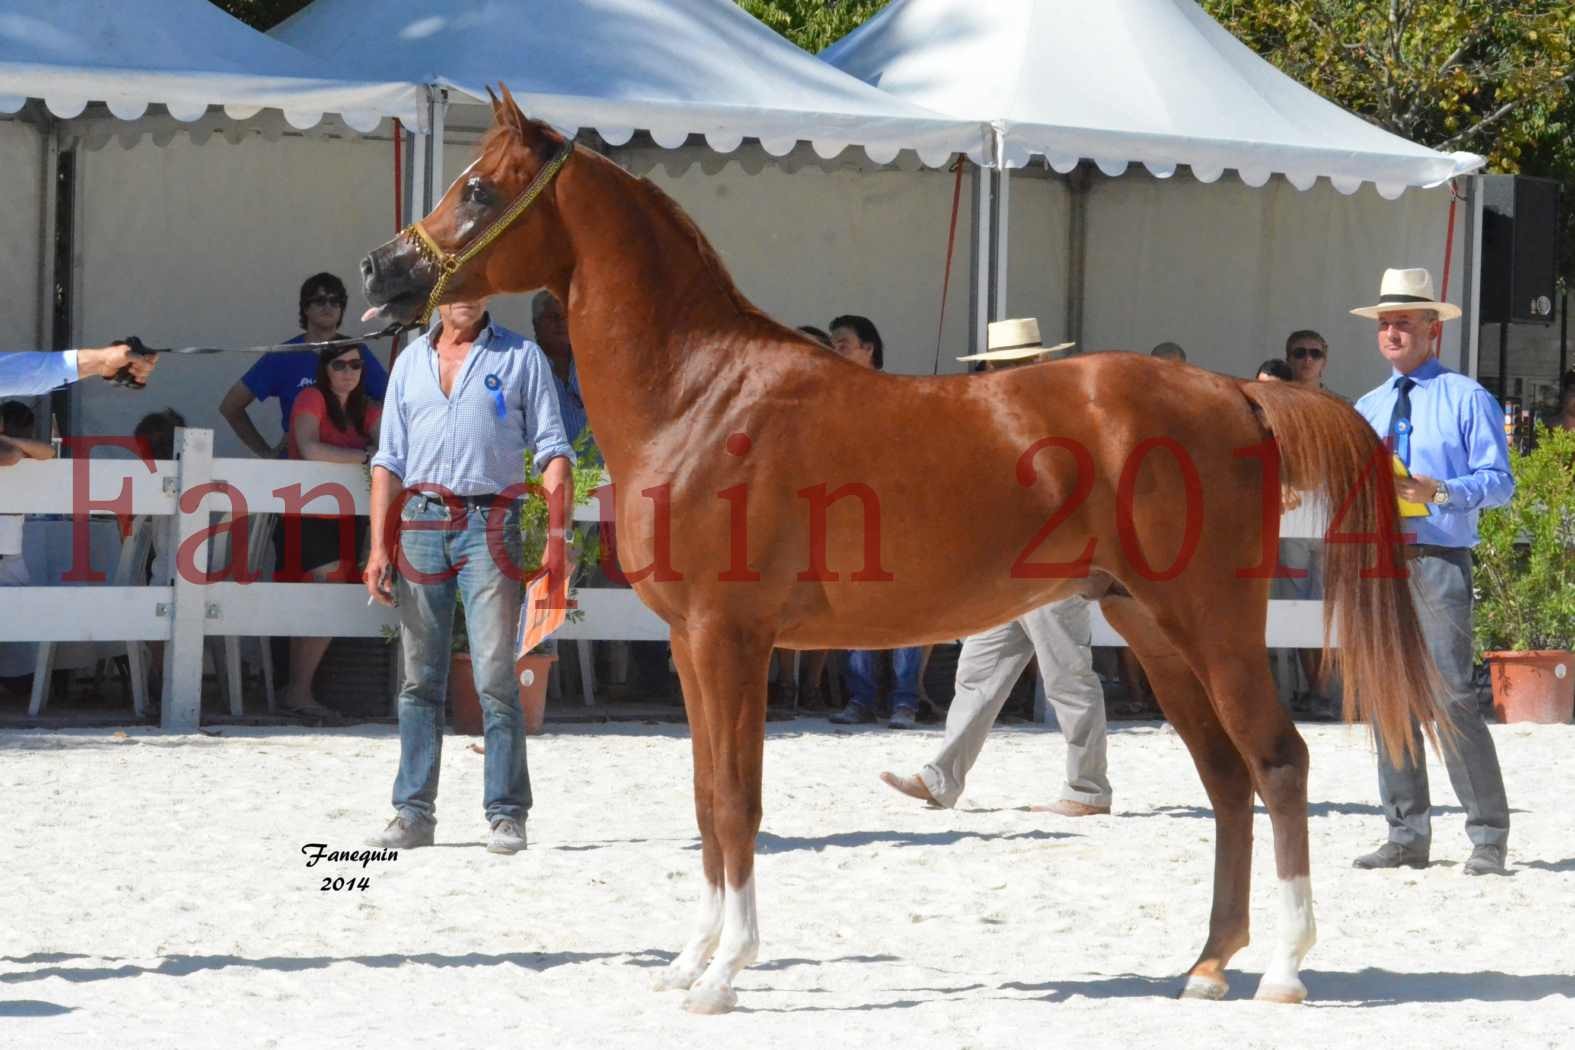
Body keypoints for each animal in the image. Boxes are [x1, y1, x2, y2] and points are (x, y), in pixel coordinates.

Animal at [362, 92, 1442, 1020]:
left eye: (481, 190)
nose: (380, 272)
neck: (700, 395)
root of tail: (1236, 393)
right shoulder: (691, 649)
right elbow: (707, 800)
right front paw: (691, 961)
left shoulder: (730, 641)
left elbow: (736, 801)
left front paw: (725, 974)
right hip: (1151, 627)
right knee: (1226, 779)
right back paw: (1210, 965)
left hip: (1214, 623)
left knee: (1279, 761)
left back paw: (1285, 972)